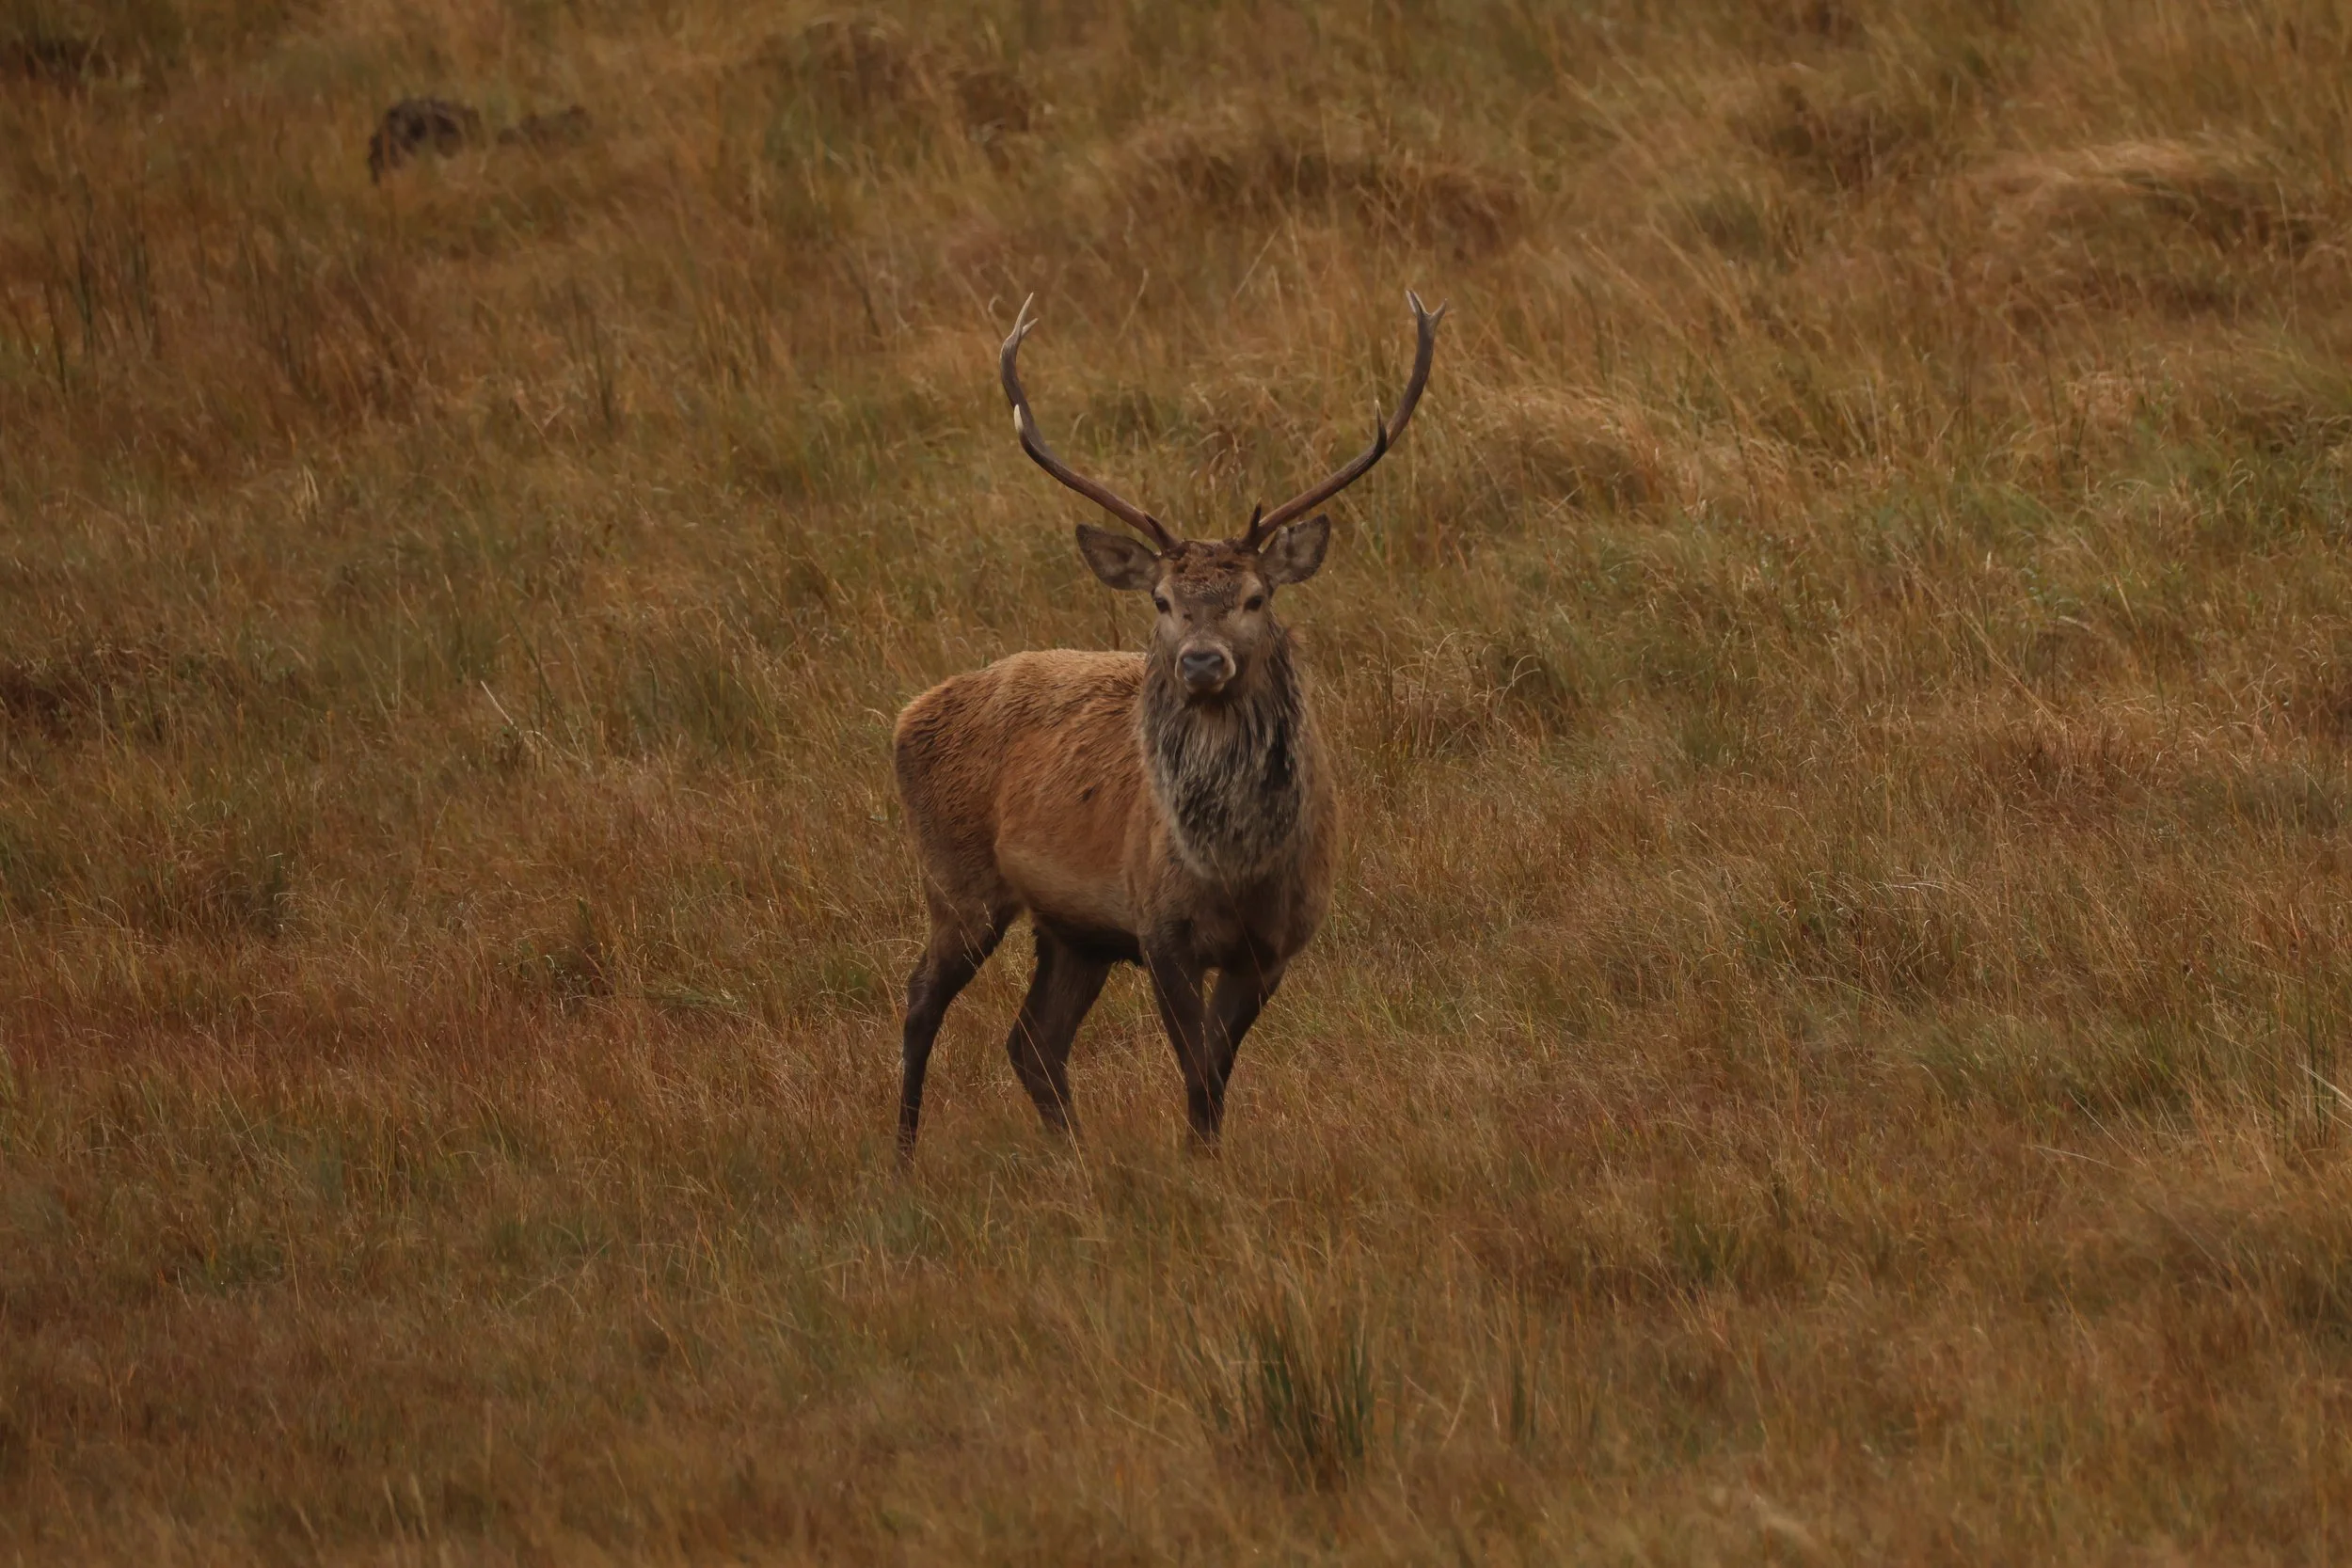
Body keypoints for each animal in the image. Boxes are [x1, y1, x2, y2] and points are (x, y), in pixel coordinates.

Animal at [890, 292, 1445, 1158]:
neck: (1236, 869)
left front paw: (1201, 1157)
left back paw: (1073, 1159)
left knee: (1032, 1040)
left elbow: (1213, 1068)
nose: (1201, 660)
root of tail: (905, 716)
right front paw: (1200, 1166)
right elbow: (1198, 1070)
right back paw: (905, 1155)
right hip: (957, 881)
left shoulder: (1276, 944)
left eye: (1256, 596)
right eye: (1160, 600)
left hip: (1074, 930)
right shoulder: (1160, 928)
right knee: (920, 1000)